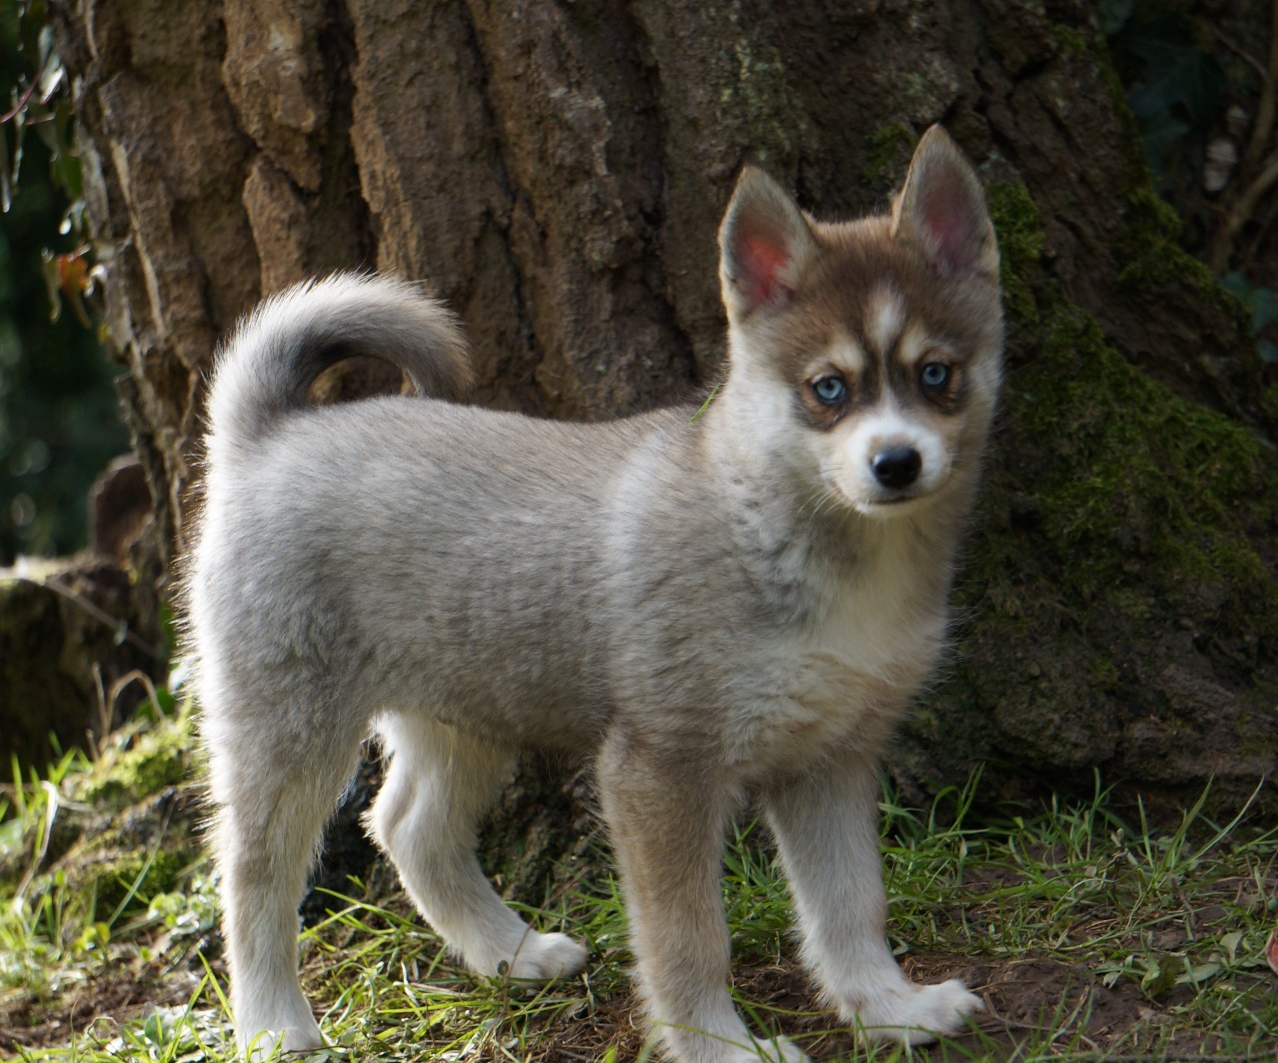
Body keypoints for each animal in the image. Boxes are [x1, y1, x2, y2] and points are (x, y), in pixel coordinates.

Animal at [188, 125, 1002, 1062]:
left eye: (935, 373)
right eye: (828, 388)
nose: (896, 462)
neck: (784, 528)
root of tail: (270, 434)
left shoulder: (830, 761)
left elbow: (851, 906)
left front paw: (890, 1008)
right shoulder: (659, 770)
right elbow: (692, 938)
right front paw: (720, 1045)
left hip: (469, 713)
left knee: (409, 829)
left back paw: (510, 953)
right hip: (290, 735)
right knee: (253, 878)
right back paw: (274, 1024)